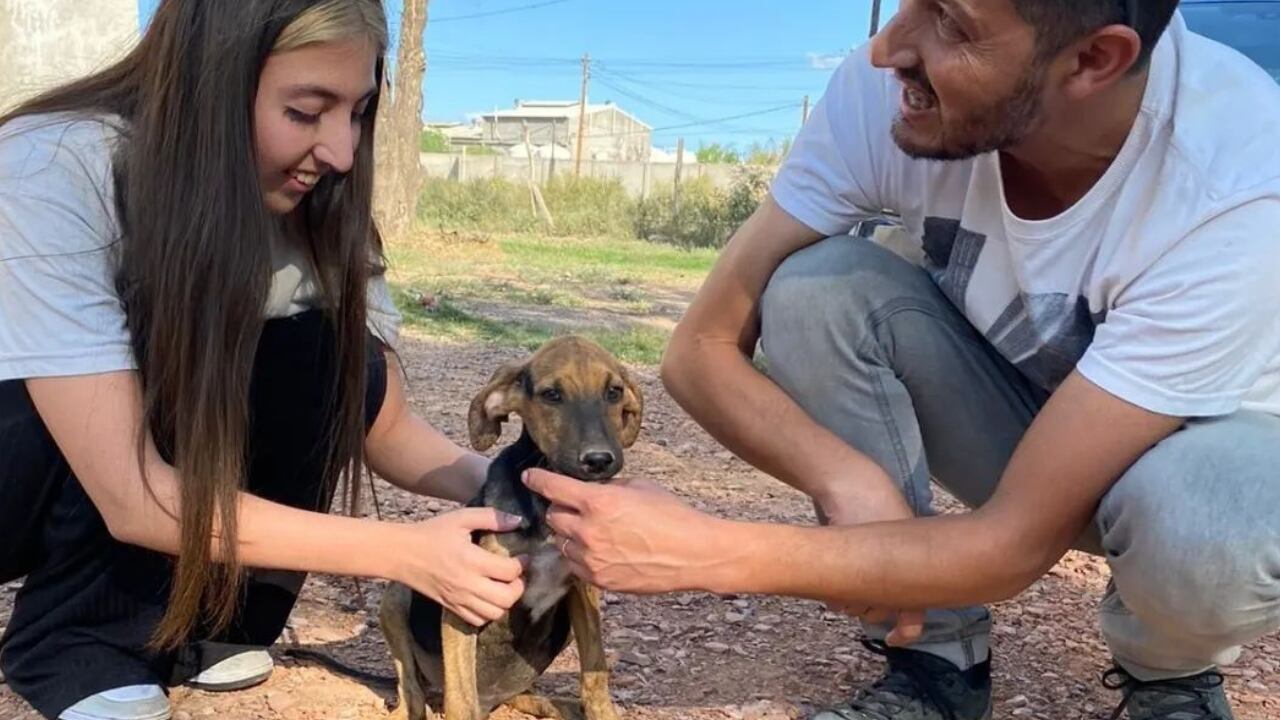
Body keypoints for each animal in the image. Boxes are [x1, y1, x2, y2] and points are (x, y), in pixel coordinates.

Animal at [376, 335, 640, 717]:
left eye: (614, 392)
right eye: (551, 394)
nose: (598, 460)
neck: (546, 508)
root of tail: (490, 700)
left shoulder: (583, 591)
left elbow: (596, 672)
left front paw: (601, 711)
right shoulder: (465, 595)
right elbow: (460, 702)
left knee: (516, 694)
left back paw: (551, 704)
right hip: (396, 596)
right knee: (412, 689)